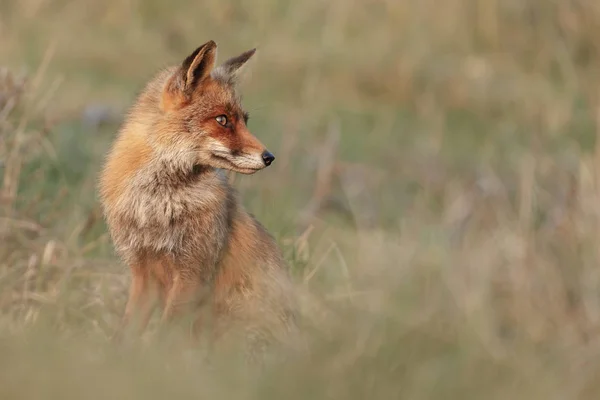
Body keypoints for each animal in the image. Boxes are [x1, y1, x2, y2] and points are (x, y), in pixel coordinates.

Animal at [97, 39, 298, 354]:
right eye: (222, 120)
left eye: (244, 121)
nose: (269, 157)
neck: (158, 205)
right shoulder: (143, 272)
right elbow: (126, 334)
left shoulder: (193, 272)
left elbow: (164, 336)